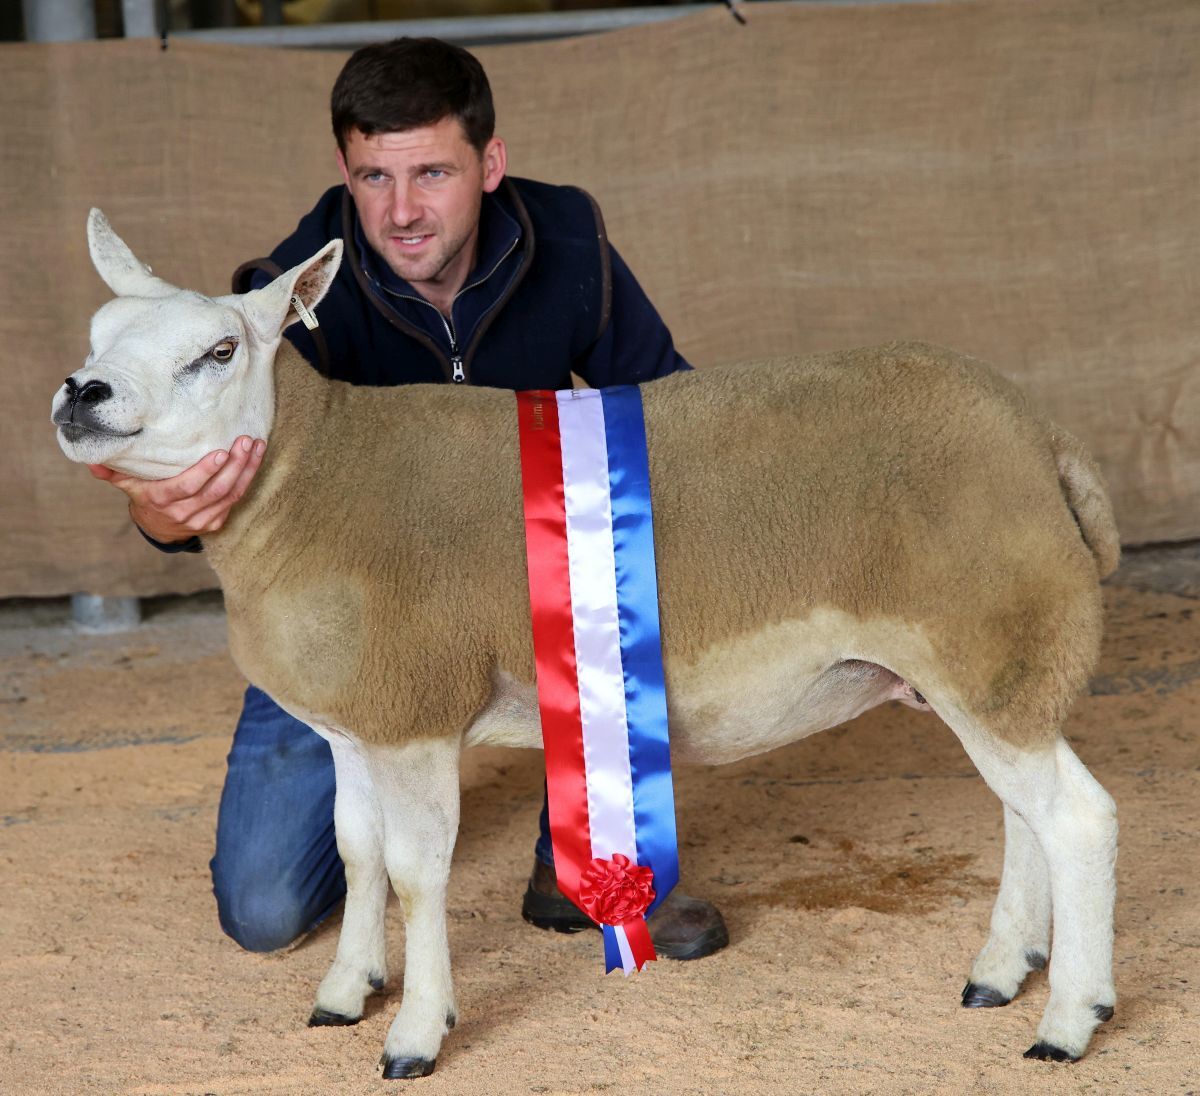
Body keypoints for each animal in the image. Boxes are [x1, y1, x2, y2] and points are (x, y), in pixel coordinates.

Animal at [52, 209, 1120, 1078]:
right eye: (98, 335)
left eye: (220, 350)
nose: (81, 393)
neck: (310, 479)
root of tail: (1041, 439)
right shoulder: (354, 724)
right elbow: (359, 853)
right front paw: (347, 990)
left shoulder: (415, 716)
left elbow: (416, 873)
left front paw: (417, 1033)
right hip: (985, 670)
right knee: (1024, 816)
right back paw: (1001, 971)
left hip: (992, 648)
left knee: (1078, 821)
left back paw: (1068, 1018)